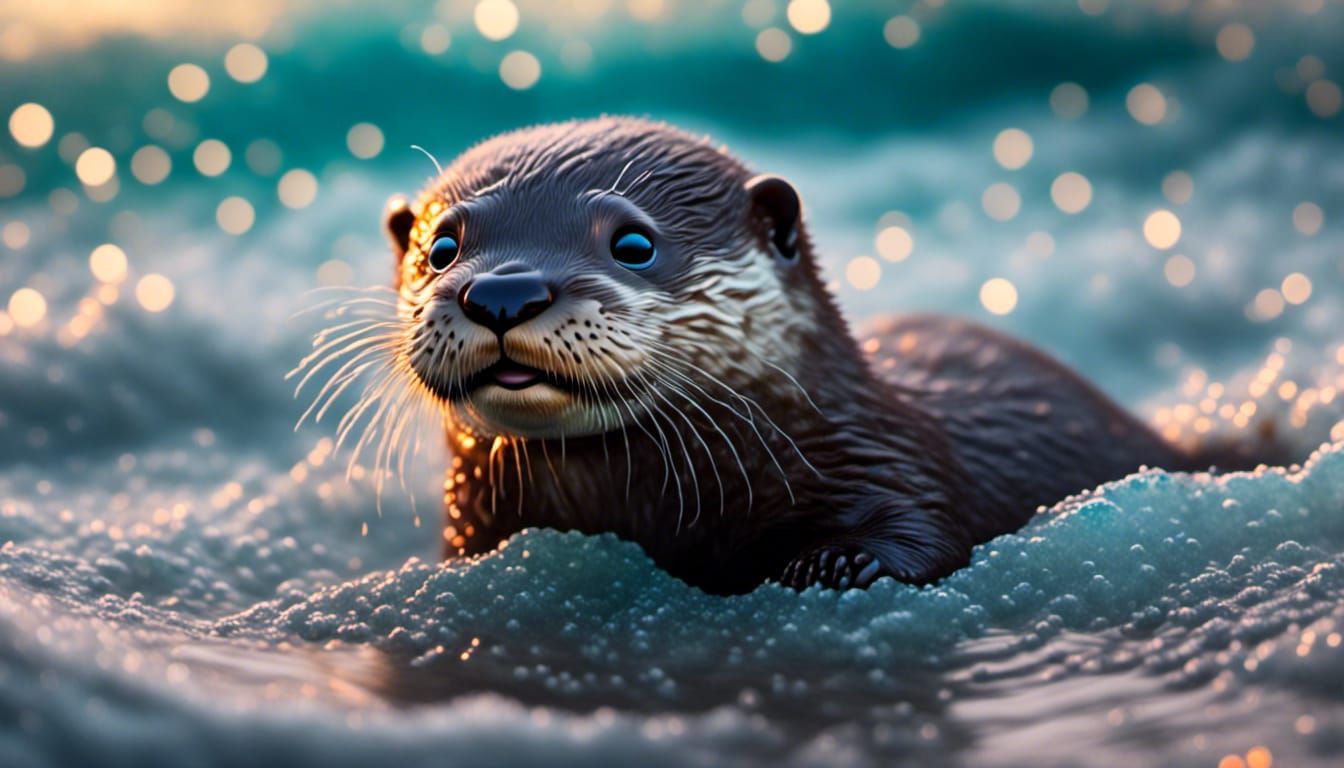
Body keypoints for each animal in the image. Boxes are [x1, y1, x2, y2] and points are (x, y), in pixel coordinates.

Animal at [375, 117, 1270, 594]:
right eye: (442, 247)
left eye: (632, 243)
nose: (503, 293)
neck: (644, 507)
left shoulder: (893, 457)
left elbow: (920, 527)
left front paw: (840, 563)